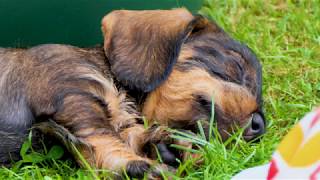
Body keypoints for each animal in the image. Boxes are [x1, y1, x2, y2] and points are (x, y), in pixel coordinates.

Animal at [0, 8, 264, 179]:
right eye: (236, 65)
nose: (260, 126)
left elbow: (129, 134)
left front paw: (172, 146)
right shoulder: (72, 91)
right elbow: (102, 136)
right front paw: (141, 165)